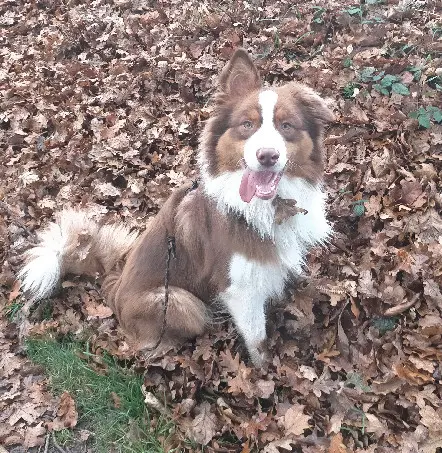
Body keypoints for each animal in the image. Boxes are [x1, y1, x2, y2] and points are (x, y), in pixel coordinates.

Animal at [19, 49, 334, 366]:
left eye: (286, 126)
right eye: (247, 125)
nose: (267, 156)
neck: (264, 208)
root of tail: (114, 286)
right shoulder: (239, 290)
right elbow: (257, 338)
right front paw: (263, 370)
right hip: (179, 302)